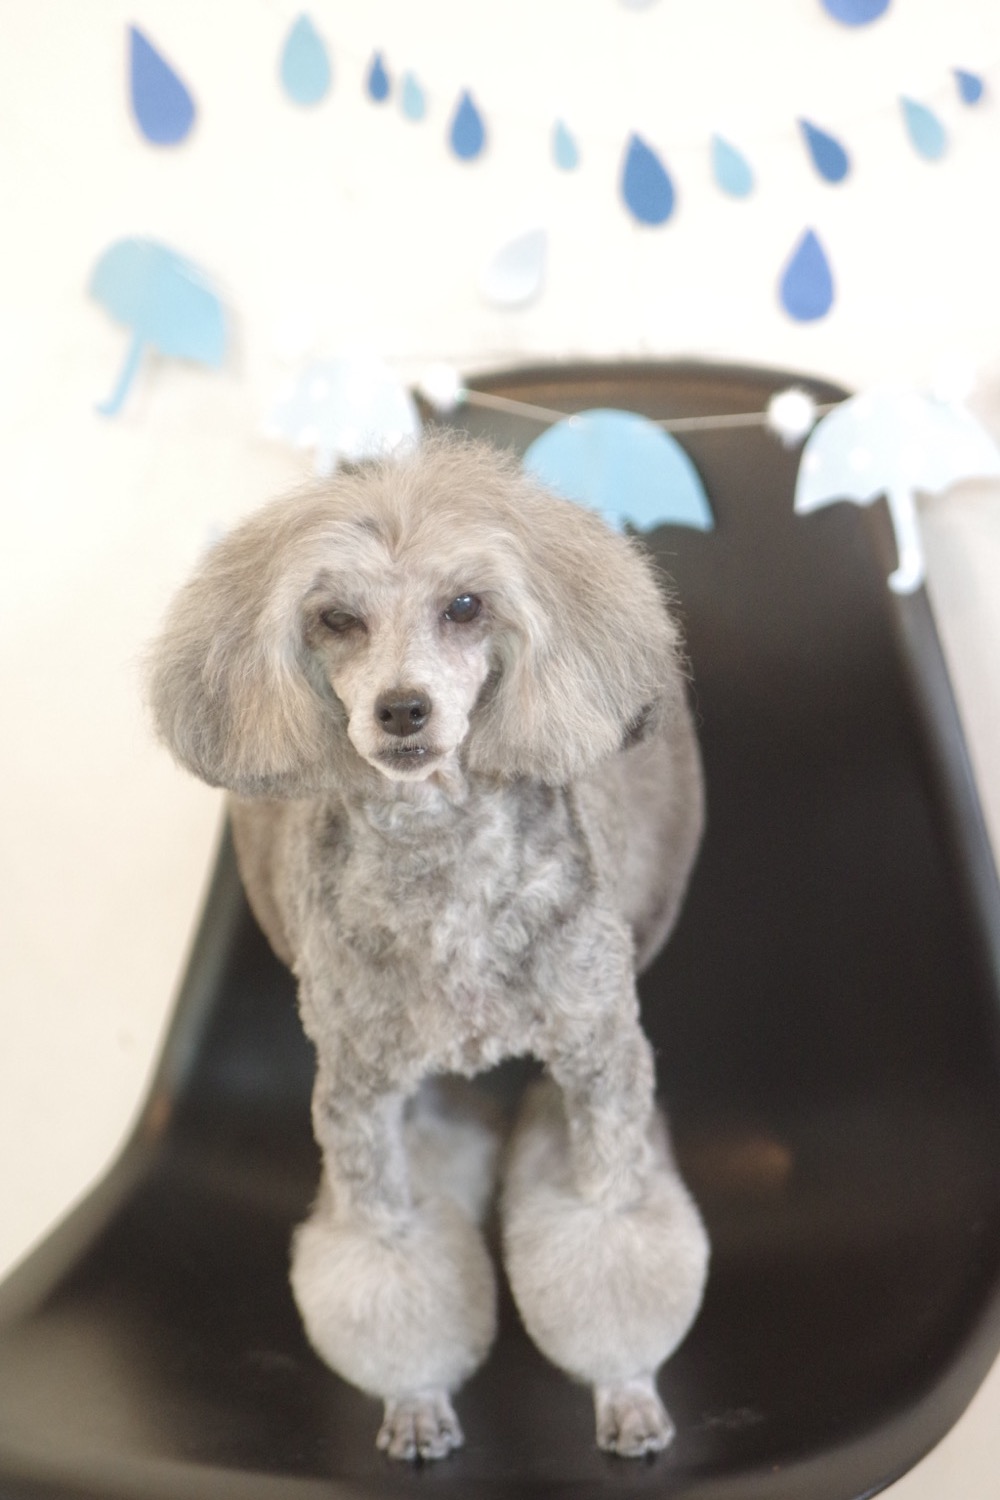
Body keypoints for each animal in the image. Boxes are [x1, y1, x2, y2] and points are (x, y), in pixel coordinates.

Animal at [148, 432, 709, 1462]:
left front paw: (627, 1388)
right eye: (335, 618)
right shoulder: (359, 1094)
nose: (402, 709)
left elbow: (613, 1227)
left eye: (465, 606)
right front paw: (414, 1399)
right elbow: (385, 1255)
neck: (444, 865)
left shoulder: (601, 1058)